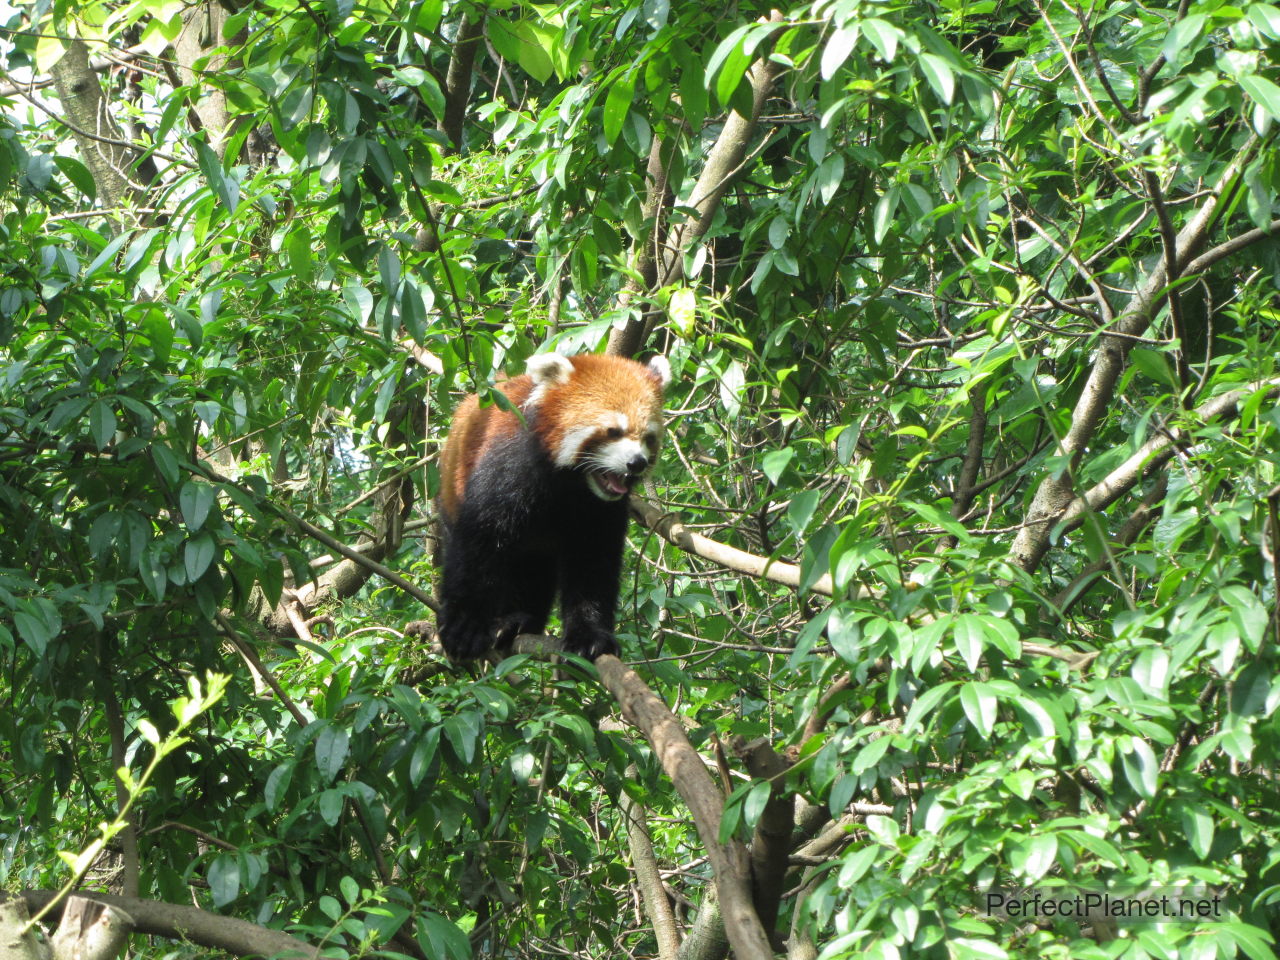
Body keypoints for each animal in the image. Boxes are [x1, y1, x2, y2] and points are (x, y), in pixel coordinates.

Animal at [435, 353, 670, 660]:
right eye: (613, 432)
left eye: (648, 438)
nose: (637, 462)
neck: (569, 484)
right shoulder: (507, 467)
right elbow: (479, 542)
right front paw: (465, 627)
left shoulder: (600, 510)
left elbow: (592, 565)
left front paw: (590, 636)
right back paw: (507, 620)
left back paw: (522, 620)